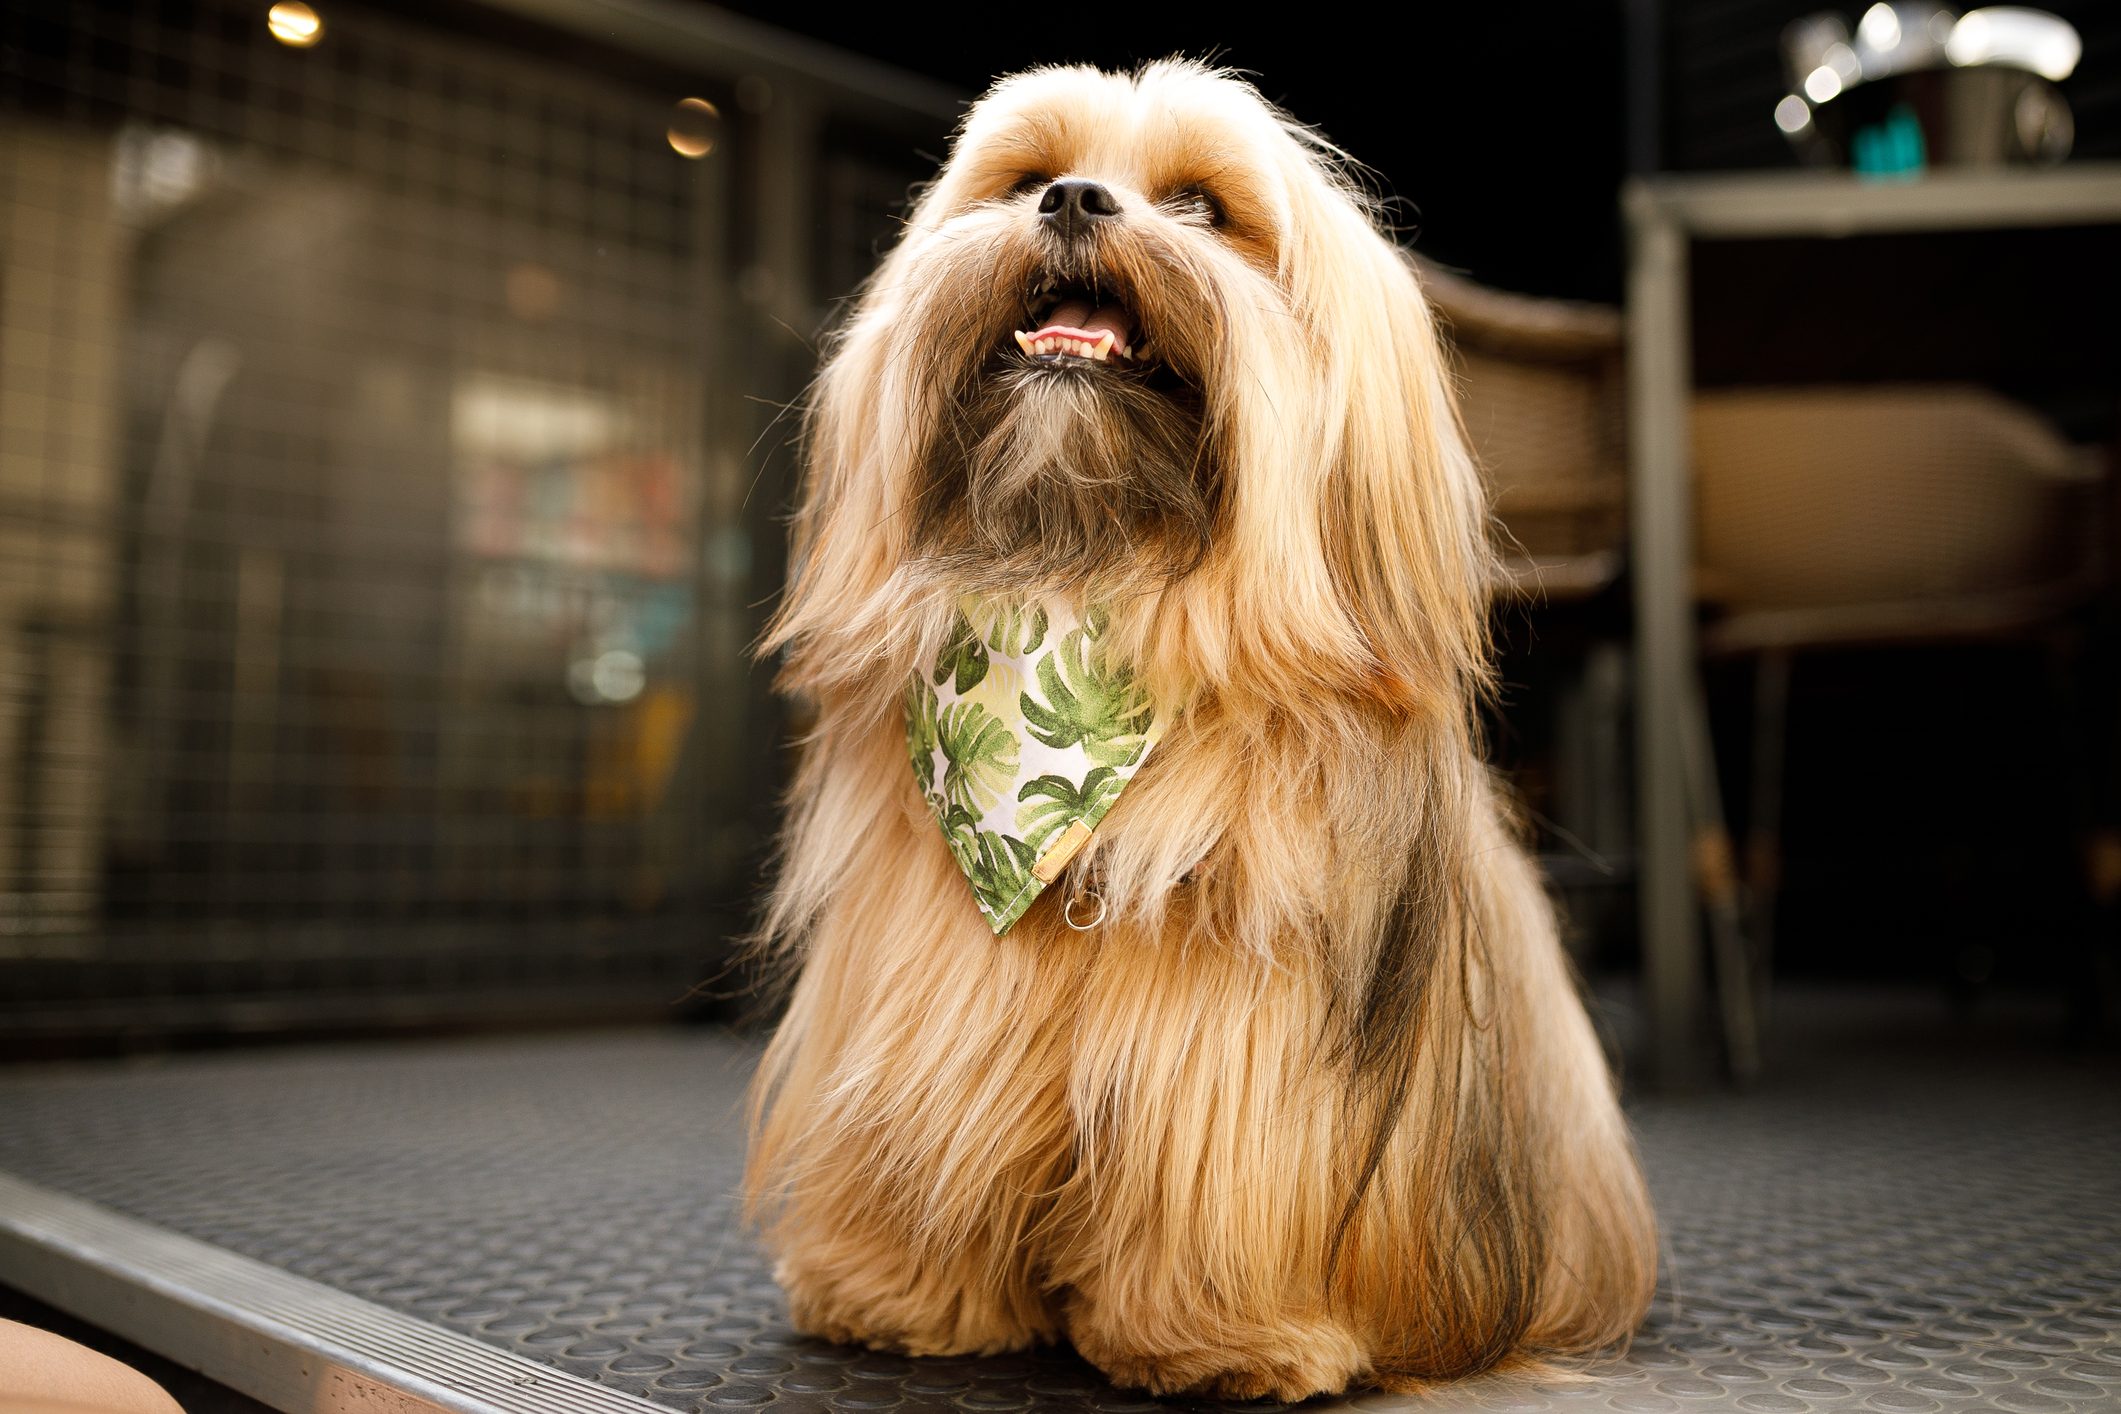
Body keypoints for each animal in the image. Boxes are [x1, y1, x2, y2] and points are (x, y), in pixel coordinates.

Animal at [746, 58, 1654, 1407]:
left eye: (1202, 208)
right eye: (1025, 176)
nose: (1073, 199)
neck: (1082, 588)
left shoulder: (1239, 1030)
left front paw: (1226, 1334)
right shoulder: (926, 981)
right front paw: (896, 1291)